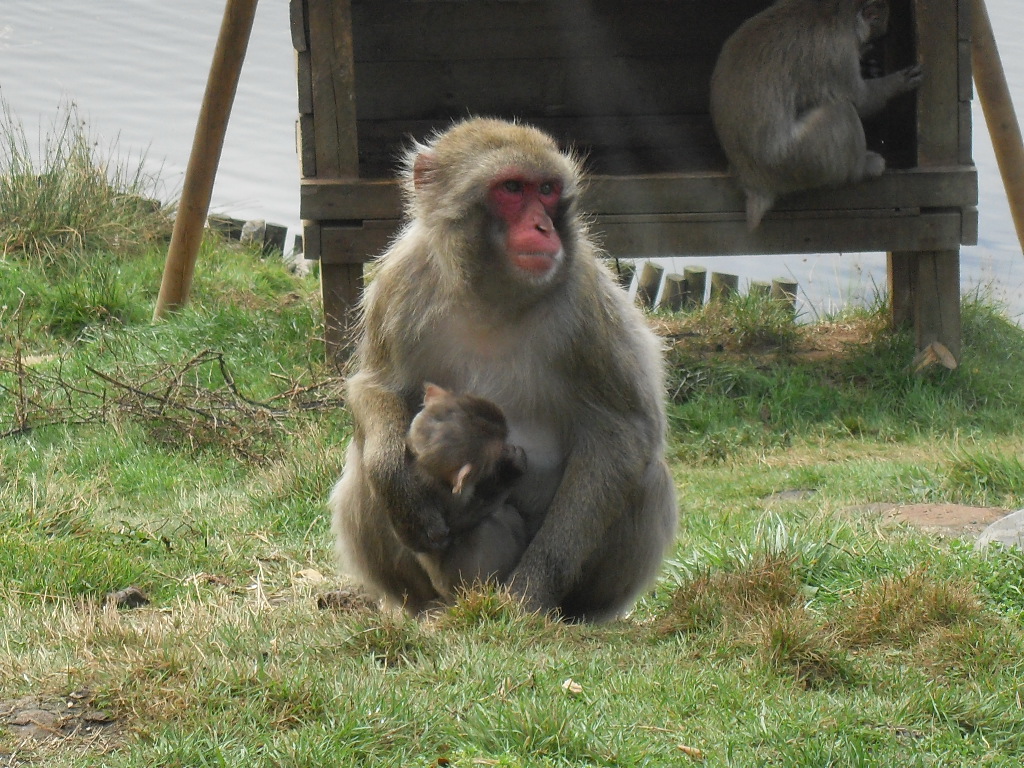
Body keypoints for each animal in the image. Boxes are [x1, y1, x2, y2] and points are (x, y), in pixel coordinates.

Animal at [405, 383, 529, 598]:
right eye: (499, 450)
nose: (507, 448)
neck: (424, 464)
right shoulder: (449, 499)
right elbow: (464, 519)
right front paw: (511, 469)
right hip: (461, 580)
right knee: (494, 522)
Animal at [709, 0, 923, 229]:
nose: (865, 49)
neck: (832, 9)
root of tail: (753, 184)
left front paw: (870, 67)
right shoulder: (839, 54)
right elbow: (861, 101)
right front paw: (897, 83)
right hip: (796, 159)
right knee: (841, 111)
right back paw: (861, 169)